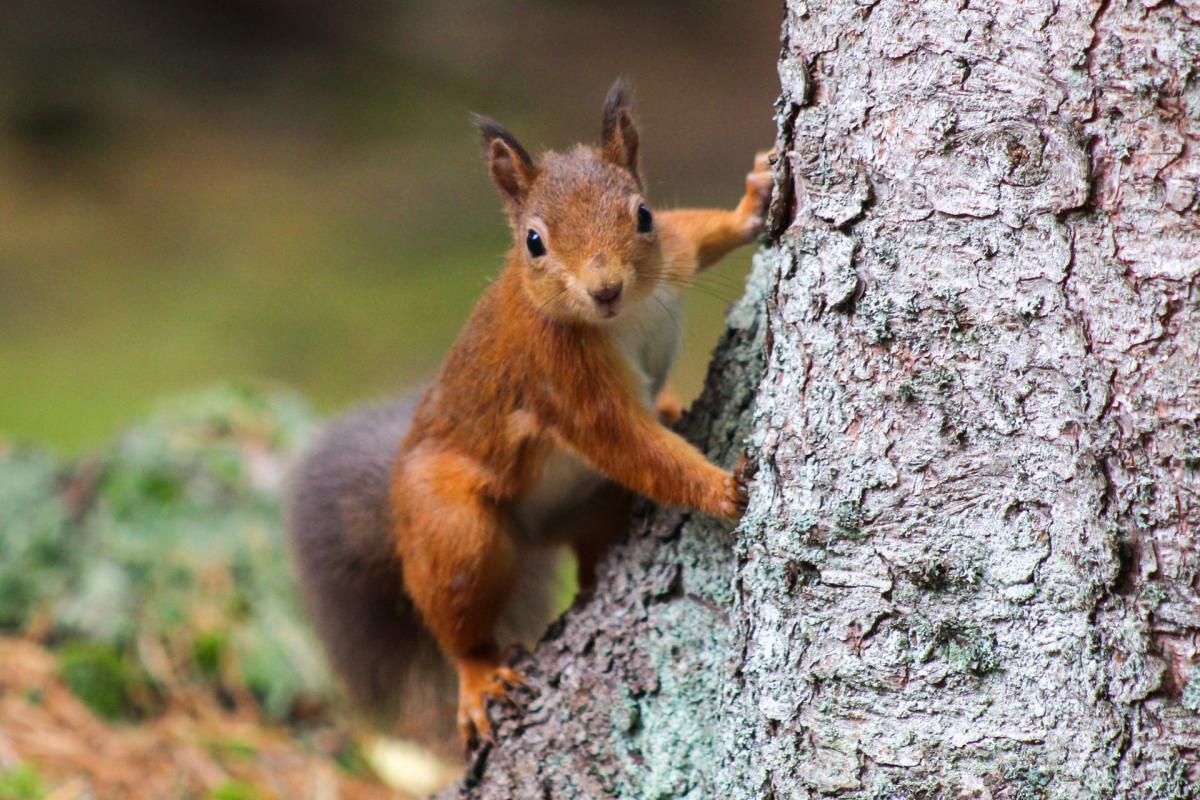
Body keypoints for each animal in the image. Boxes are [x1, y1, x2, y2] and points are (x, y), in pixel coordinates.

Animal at [288, 77, 768, 748]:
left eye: (642, 214)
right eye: (533, 243)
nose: (605, 289)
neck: (622, 318)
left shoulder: (672, 253)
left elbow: (696, 232)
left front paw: (754, 201)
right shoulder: (562, 379)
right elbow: (630, 444)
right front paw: (723, 488)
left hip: (594, 506)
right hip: (451, 527)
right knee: (457, 616)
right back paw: (478, 677)